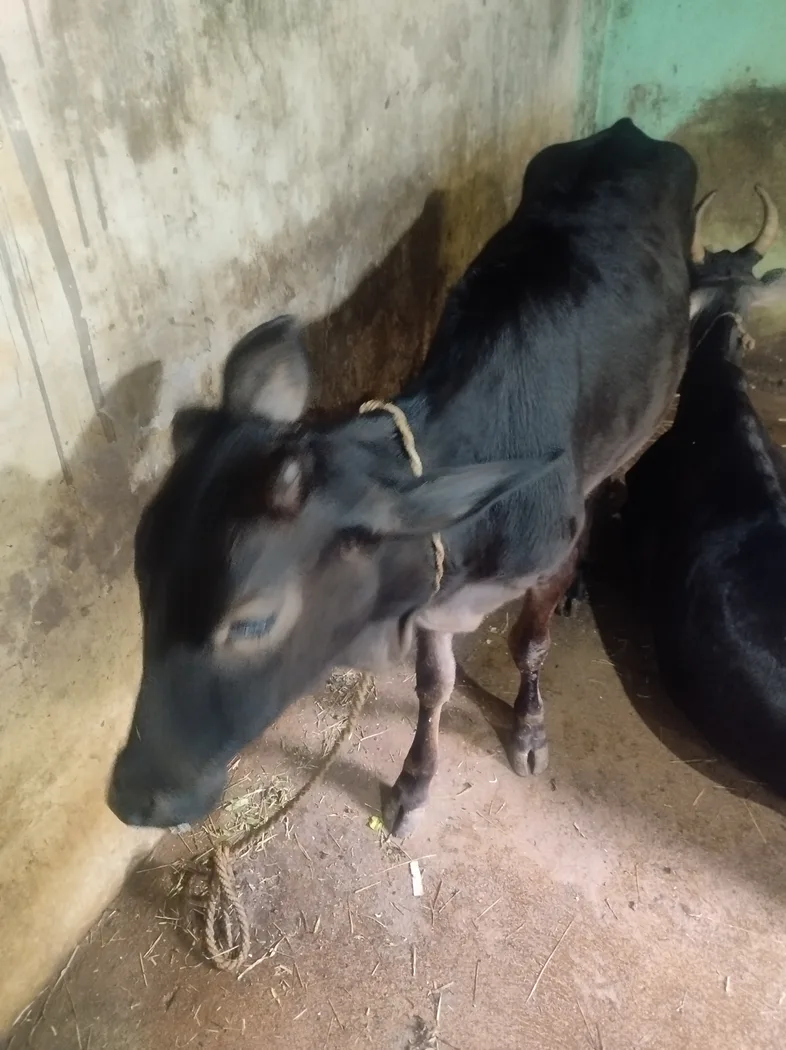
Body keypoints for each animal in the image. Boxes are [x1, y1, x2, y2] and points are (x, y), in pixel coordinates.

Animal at [108, 118, 698, 834]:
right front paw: (414, 784)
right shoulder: (434, 582)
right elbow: (433, 683)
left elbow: (529, 645)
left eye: (252, 623)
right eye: (144, 575)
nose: (133, 796)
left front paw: (529, 731)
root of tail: (627, 130)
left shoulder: (542, 557)